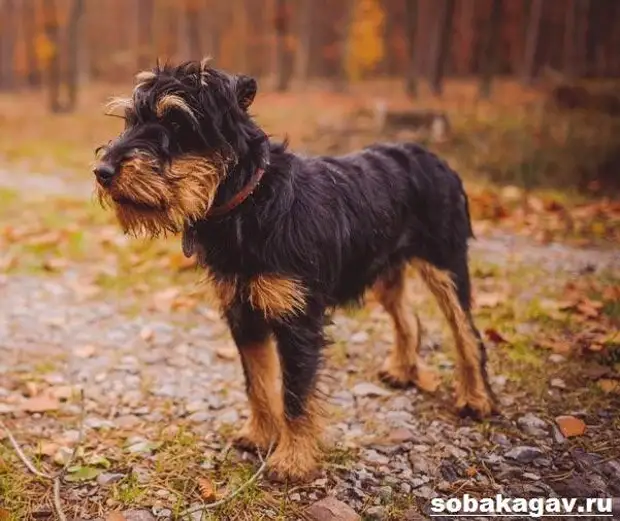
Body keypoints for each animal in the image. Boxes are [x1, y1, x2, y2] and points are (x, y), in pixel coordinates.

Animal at [93, 60, 498, 480]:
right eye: (130, 120)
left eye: (174, 120)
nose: (102, 170)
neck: (250, 204)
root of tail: (435, 158)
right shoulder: (243, 316)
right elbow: (258, 382)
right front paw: (260, 435)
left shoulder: (297, 320)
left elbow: (295, 393)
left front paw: (292, 459)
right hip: (385, 270)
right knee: (407, 317)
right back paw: (403, 369)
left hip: (445, 266)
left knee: (468, 334)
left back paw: (475, 398)